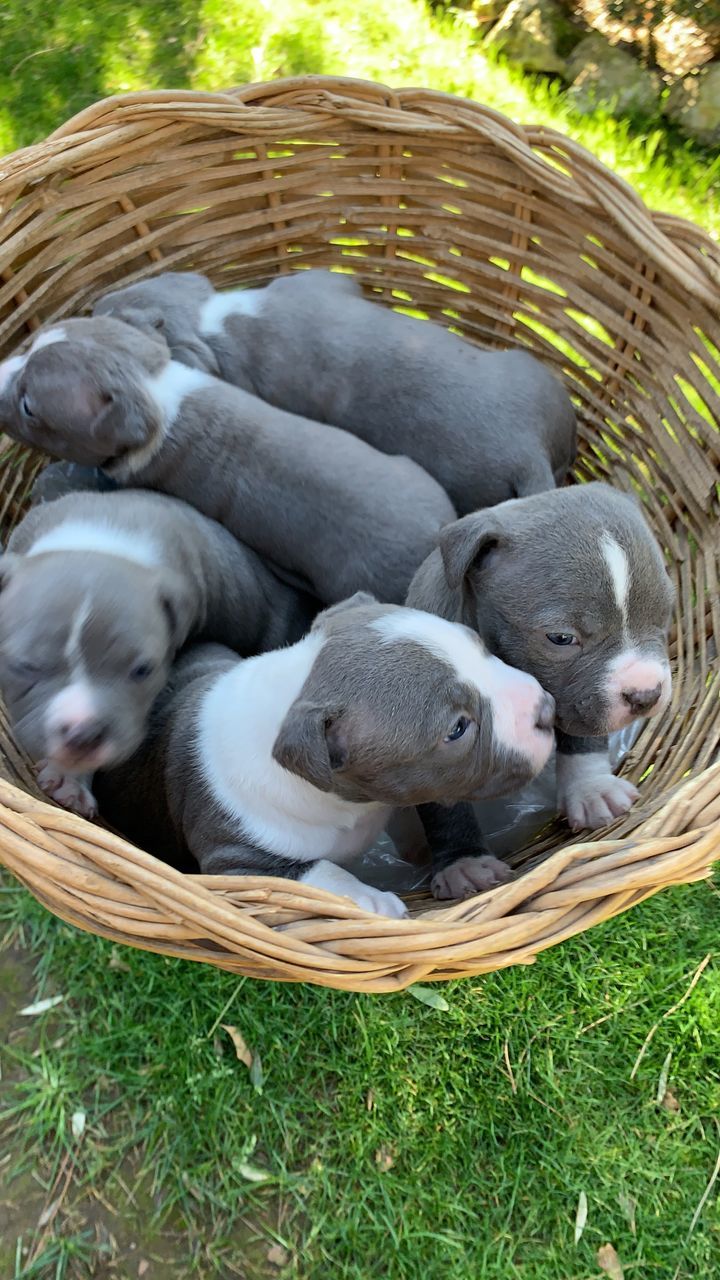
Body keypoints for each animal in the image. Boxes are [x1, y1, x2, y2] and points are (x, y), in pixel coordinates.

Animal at [94, 593, 556, 916]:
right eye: (458, 728)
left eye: (481, 647)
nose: (546, 709)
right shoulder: (236, 864)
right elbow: (317, 870)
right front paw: (374, 900)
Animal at [407, 481, 676, 901]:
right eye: (561, 638)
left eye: (666, 613)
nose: (645, 694)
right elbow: (442, 804)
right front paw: (463, 864)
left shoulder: (577, 700)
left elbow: (583, 736)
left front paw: (591, 790)